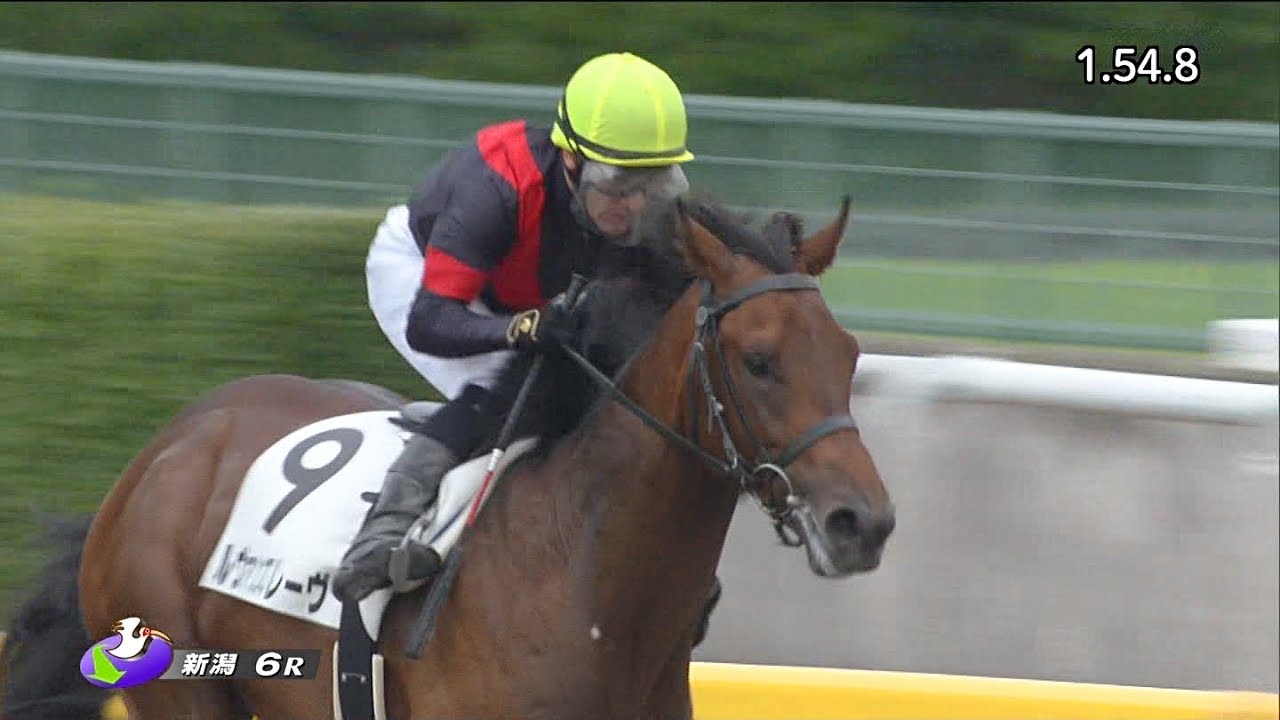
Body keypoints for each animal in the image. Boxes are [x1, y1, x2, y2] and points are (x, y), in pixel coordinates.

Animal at [0, 196, 895, 720]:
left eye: (849, 353)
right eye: (760, 360)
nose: (863, 523)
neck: (581, 578)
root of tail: (164, 449)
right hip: (184, 687)